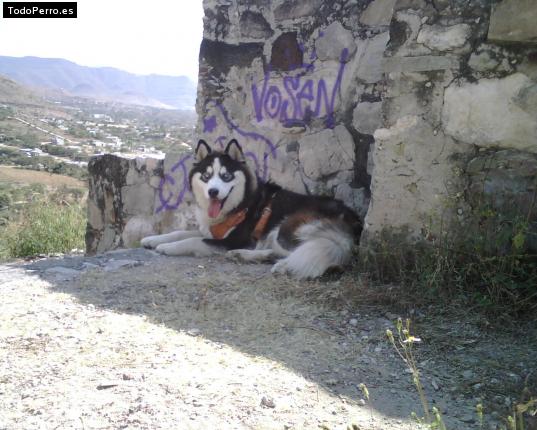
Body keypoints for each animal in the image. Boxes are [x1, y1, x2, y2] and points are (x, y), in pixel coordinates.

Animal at [140, 139, 362, 278]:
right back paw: (248, 255)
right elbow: (180, 232)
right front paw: (154, 239)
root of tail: (353, 220)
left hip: (290, 229)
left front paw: (167, 247)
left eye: (226, 176)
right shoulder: (211, 230)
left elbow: (193, 240)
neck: (240, 204)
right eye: (206, 176)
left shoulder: (232, 240)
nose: (213, 192)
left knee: (302, 251)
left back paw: (283, 266)